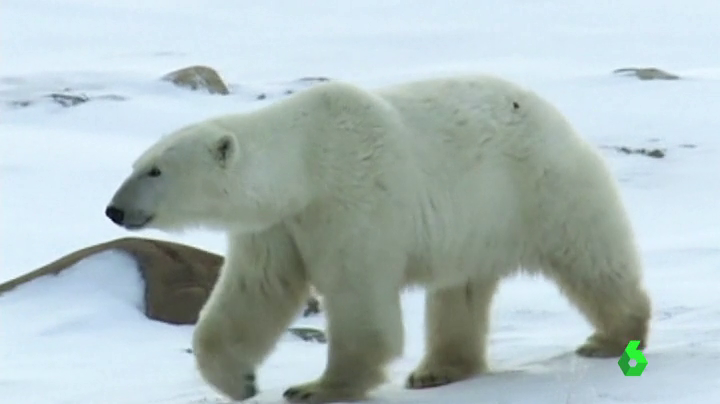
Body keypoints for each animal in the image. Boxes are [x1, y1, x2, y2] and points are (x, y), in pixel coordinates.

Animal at [105, 74, 652, 403]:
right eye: (137, 164)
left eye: (155, 170)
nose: (114, 209)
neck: (305, 163)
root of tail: (556, 116)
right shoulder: (278, 224)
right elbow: (255, 292)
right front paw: (239, 380)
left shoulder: (352, 200)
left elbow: (356, 297)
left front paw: (318, 387)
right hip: (477, 227)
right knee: (460, 291)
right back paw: (438, 370)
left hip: (541, 189)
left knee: (591, 259)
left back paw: (610, 337)